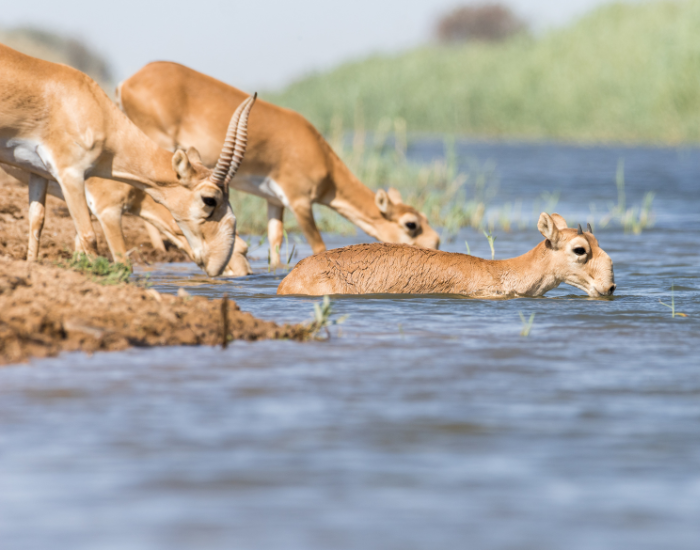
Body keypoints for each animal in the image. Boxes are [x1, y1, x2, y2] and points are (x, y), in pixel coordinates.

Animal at [0, 44, 255, 276]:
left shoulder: (38, 172)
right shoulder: (80, 185)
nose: (218, 264)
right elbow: (96, 242)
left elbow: (38, 223)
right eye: (210, 199)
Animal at [115, 61, 440, 267]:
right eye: (411, 224)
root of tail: (126, 82)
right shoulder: (300, 201)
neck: (322, 159)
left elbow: (274, 246)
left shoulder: (275, 202)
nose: (436, 243)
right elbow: (319, 245)